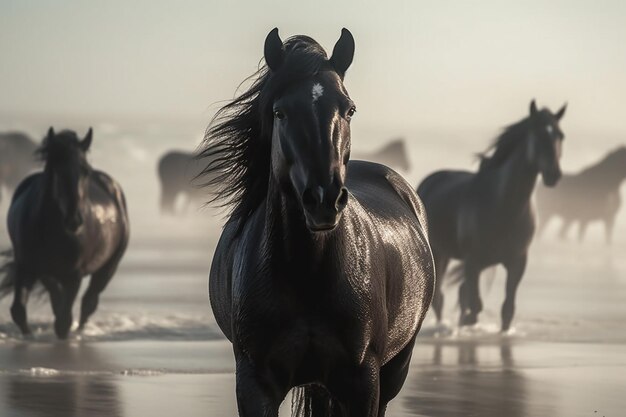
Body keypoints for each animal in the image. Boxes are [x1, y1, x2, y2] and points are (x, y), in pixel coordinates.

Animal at [0, 127, 129, 338]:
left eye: (85, 171)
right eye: (57, 169)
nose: (74, 220)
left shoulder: (73, 275)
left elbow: (63, 321)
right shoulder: (27, 266)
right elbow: (19, 310)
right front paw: (29, 336)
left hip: (108, 267)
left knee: (89, 302)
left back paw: (81, 330)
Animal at [202, 28, 432, 416]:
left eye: (349, 109)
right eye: (279, 112)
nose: (324, 199)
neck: (306, 274)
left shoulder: (363, 383)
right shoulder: (254, 384)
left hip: (394, 369)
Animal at [414, 101, 564, 332]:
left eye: (560, 135)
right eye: (538, 134)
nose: (553, 174)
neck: (504, 207)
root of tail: (429, 181)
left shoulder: (517, 262)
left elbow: (506, 310)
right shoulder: (472, 261)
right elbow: (475, 305)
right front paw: (467, 322)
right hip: (440, 254)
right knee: (439, 298)